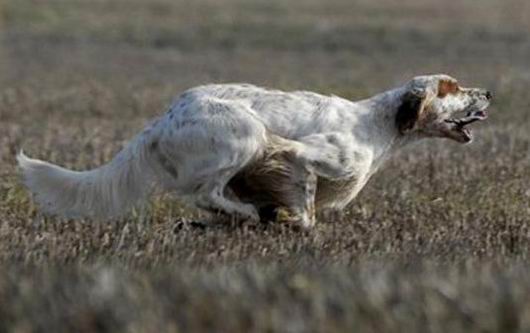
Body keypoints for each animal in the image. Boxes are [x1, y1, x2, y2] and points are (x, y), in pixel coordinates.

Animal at [17, 74, 490, 227]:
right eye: (452, 87)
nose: (489, 92)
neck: (376, 124)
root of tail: (162, 120)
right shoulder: (304, 156)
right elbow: (305, 207)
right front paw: (283, 219)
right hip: (245, 133)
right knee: (205, 193)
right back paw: (243, 215)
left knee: (207, 200)